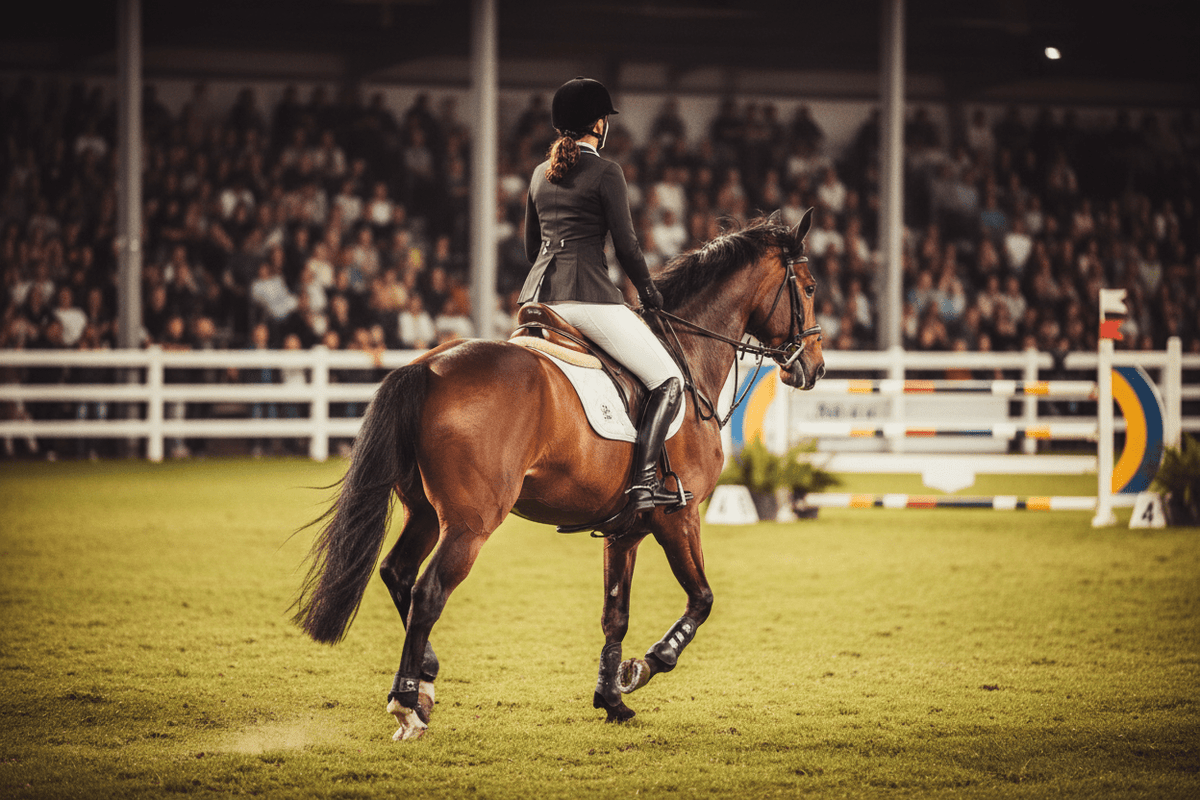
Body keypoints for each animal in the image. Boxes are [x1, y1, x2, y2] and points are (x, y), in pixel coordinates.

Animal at [292, 209, 825, 740]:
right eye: (811, 286)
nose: (814, 368)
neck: (688, 356)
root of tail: (430, 365)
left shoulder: (625, 531)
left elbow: (615, 616)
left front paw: (612, 698)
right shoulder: (680, 515)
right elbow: (702, 600)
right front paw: (644, 666)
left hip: (423, 511)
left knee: (397, 572)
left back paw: (425, 677)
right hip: (470, 522)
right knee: (428, 593)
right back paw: (407, 702)